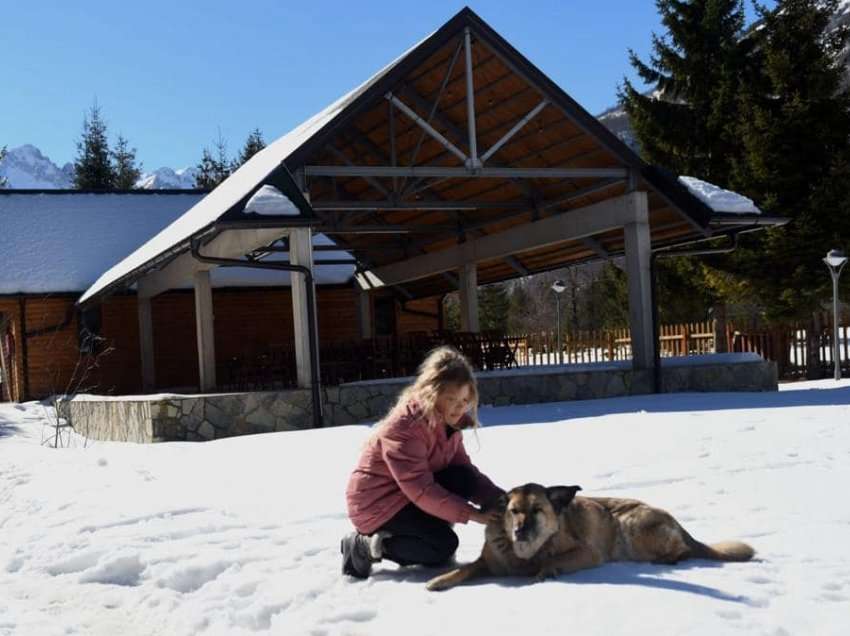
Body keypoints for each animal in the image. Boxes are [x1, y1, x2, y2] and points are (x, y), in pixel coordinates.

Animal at [428, 486, 752, 592]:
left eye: (537, 510)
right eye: (514, 511)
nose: (520, 530)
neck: (522, 553)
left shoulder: (587, 553)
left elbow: (553, 559)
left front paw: (544, 573)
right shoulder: (486, 561)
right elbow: (465, 569)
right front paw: (440, 580)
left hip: (629, 525)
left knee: (682, 549)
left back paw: (669, 559)